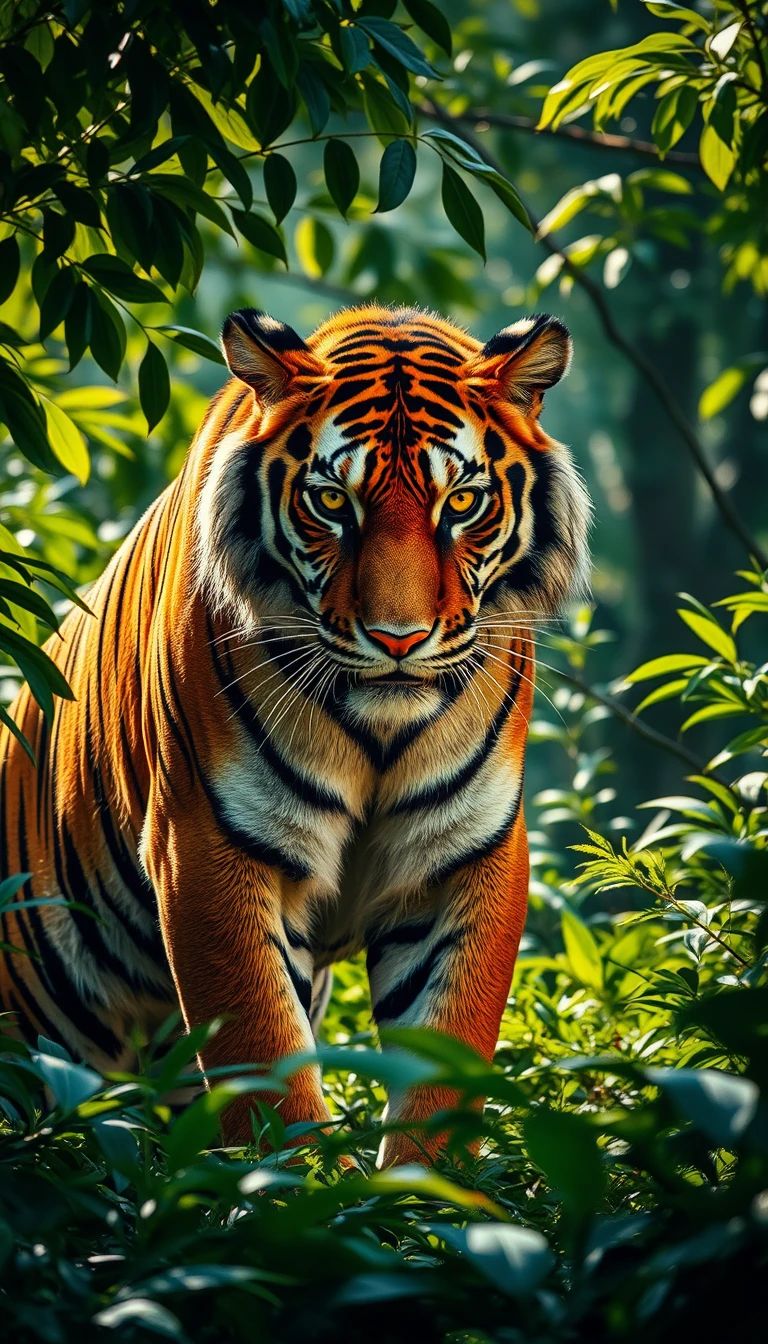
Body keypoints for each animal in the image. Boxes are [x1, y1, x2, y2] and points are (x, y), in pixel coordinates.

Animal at [0, 304, 590, 1164]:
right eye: (333, 502)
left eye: (461, 504)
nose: (399, 639)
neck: (381, 730)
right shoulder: (206, 846)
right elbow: (268, 1074)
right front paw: (304, 1190)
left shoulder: (463, 853)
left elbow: (444, 1072)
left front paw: (426, 1197)